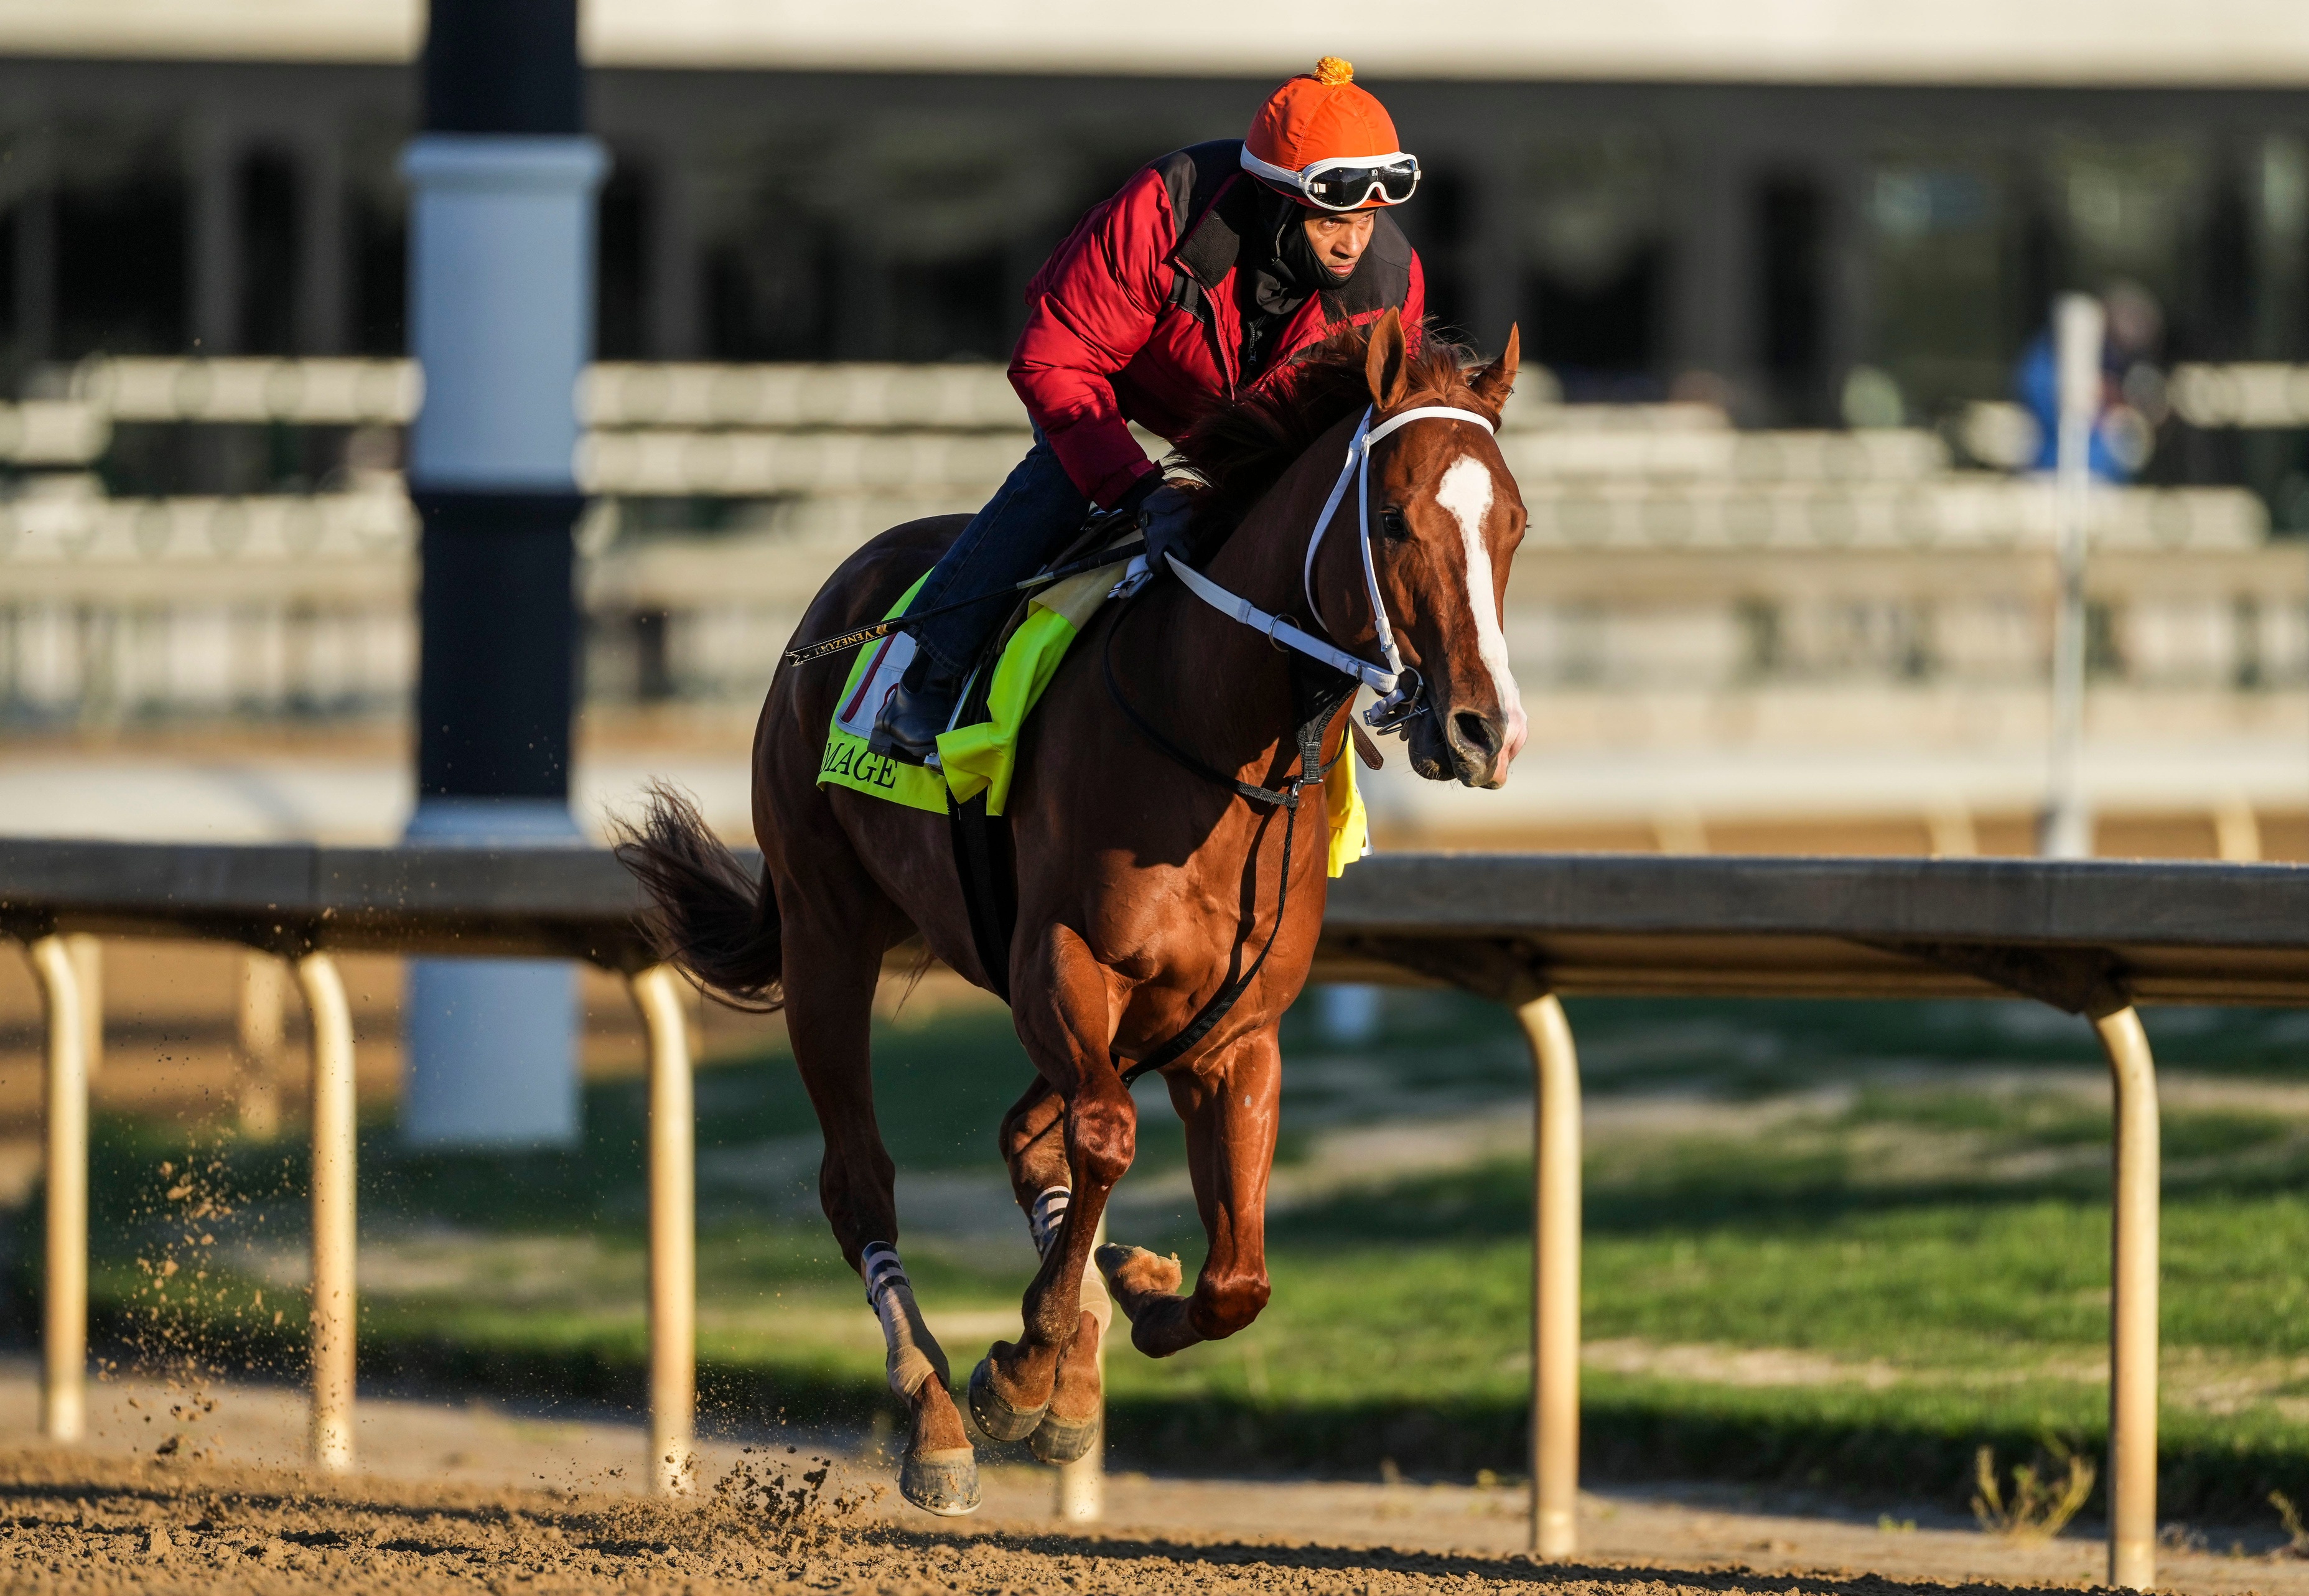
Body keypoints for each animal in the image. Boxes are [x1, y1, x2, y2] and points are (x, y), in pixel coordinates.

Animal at [618, 309, 1514, 1515]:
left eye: (1512, 523)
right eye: (1392, 516)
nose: (1483, 730)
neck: (1219, 742)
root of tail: (841, 587)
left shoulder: (1233, 1031)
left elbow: (1238, 1277)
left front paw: (1129, 1303)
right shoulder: (1060, 959)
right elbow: (1104, 1135)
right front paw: (1024, 1367)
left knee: (1023, 1133)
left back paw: (1092, 1331)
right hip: (824, 931)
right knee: (863, 1179)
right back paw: (939, 1412)